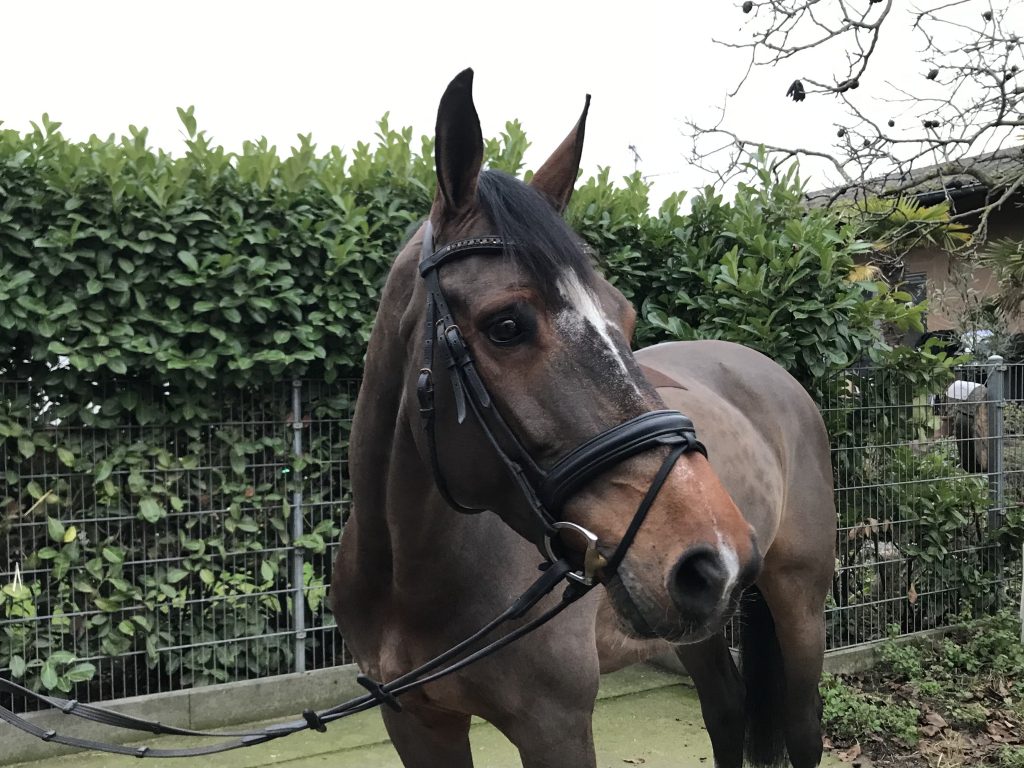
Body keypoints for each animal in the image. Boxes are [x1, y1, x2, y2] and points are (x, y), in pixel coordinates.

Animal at [331, 69, 836, 768]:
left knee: (800, 725)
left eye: (624, 314)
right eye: (506, 325)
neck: (409, 577)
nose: (719, 554)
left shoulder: (556, 726)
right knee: (727, 708)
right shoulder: (417, 724)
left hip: (797, 601)